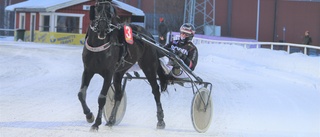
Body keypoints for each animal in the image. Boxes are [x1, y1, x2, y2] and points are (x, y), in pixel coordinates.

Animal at [78, 0, 168, 131]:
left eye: (110, 10)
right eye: (98, 8)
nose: (102, 27)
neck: (98, 46)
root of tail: (148, 36)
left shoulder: (108, 73)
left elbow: (102, 98)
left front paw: (96, 123)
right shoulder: (88, 70)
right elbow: (81, 94)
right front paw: (89, 116)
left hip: (149, 67)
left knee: (156, 91)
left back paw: (160, 121)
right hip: (119, 72)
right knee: (118, 95)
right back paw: (111, 120)